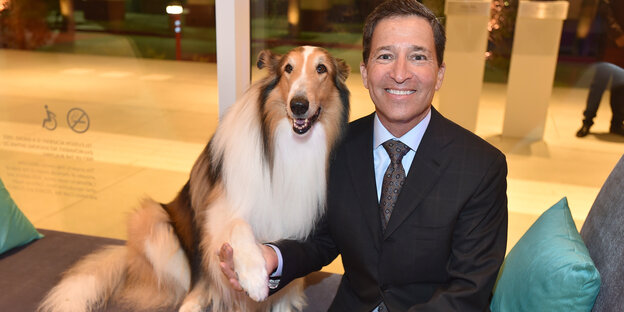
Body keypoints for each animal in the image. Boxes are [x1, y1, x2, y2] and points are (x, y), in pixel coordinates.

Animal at [37, 46, 352, 312]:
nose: (298, 105)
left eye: (321, 69)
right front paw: (254, 276)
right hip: (154, 223)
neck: (285, 145)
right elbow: (239, 227)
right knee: (191, 288)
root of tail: (127, 256)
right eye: (288, 68)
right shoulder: (220, 212)